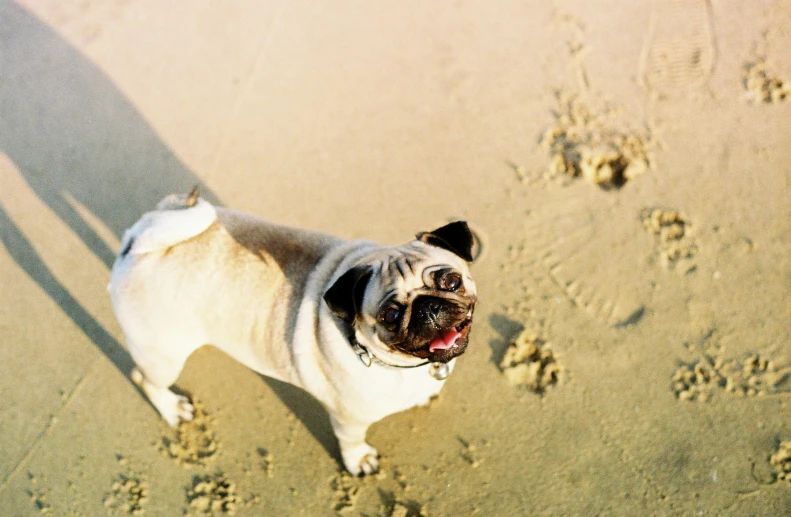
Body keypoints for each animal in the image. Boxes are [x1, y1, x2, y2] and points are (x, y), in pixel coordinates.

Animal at [108, 187, 480, 474]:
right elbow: (352, 441)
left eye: (451, 281)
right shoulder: (349, 419)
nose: (428, 308)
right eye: (390, 315)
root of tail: (136, 241)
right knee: (146, 379)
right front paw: (359, 461)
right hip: (163, 355)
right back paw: (172, 409)